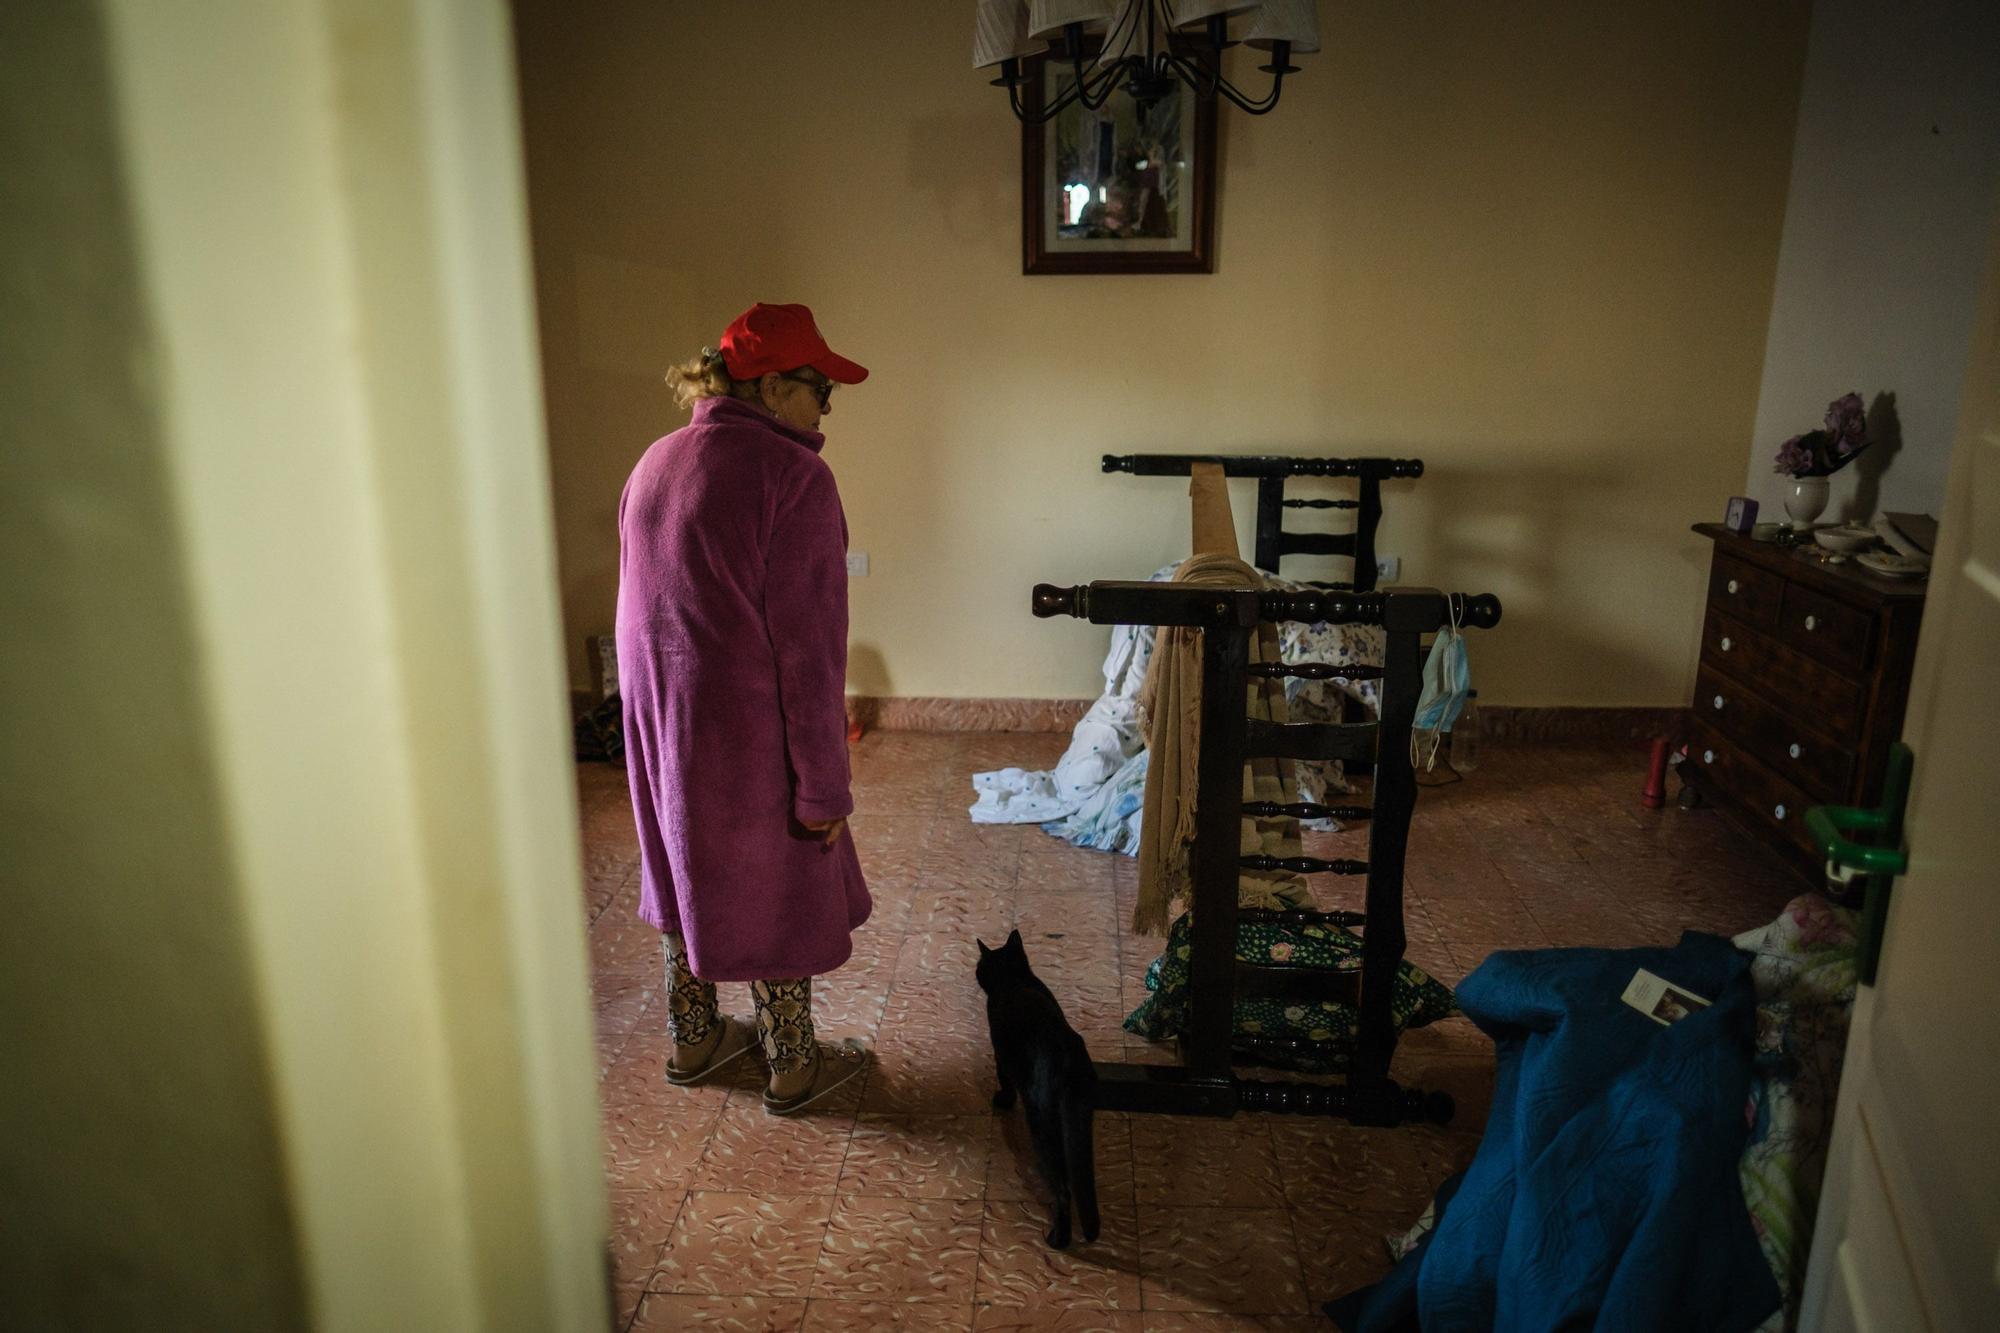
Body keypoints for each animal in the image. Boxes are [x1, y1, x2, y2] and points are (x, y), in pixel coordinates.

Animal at [976, 924, 1104, 1248]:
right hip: (1079, 1118)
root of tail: (1068, 1057)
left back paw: (1058, 1239)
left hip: (1042, 1123)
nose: (977, 973)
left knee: (1062, 1189)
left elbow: (1004, 1080)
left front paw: (1003, 1100)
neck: (1014, 979)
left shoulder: (1000, 1053)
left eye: (980, 966)